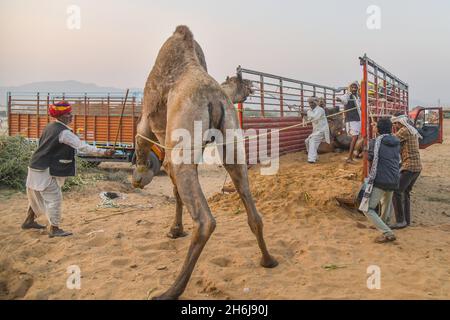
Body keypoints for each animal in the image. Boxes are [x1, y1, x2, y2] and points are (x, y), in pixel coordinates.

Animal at [130, 25, 278, 300]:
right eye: (242, 81)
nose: (252, 84)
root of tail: (214, 97)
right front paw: (175, 229)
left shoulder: (149, 121)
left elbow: (142, 140)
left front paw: (140, 177)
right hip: (232, 144)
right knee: (252, 208)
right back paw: (268, 260)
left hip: (184, 138)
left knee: (205, 221)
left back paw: (170, 291)